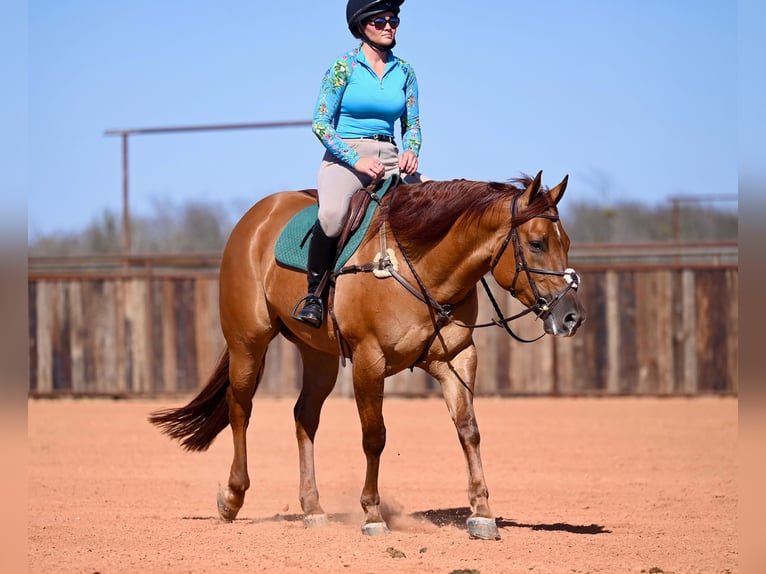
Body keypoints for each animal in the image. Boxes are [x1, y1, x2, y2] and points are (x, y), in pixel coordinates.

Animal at [150, 171, 584, 540]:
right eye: (537, 243)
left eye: (565, 243)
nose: (572, 316)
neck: (416, 266)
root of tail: (257, 216)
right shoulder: (368, 362)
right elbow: (374, 437)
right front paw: (373, 514)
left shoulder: (457, 359)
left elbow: (469, 430)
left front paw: (482, 512)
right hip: (248, 343)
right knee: (240, 409)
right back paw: (233, 496)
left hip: (319, 357)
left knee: (304, 417)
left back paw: (312, 508)